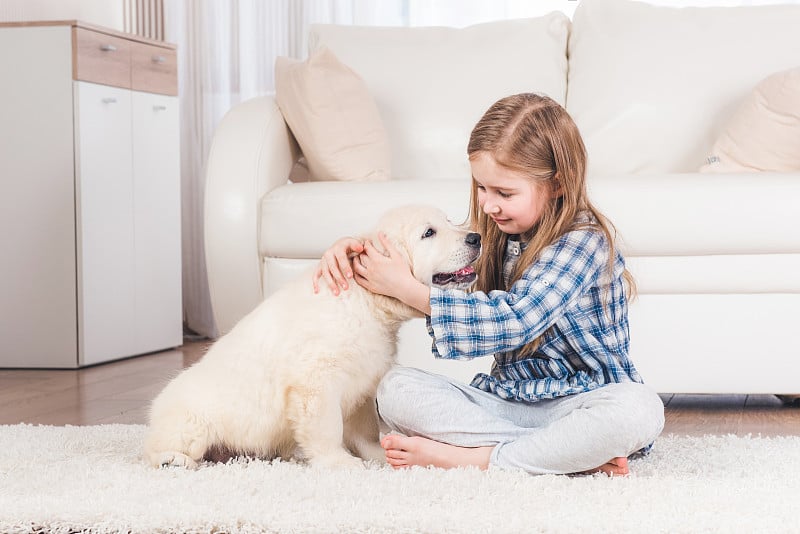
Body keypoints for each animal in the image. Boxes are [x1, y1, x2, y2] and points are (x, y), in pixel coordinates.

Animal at [144, 205, 478, 468]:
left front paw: (377, 456)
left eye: (450, 221)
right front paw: (340, 462)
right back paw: (172, 459)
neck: (365, 302)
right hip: (191, 423)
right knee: (156, 448)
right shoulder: (315, 380)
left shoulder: (363, 382)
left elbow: (365, 428)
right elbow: (326, 426)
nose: (475, 238)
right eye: (429, 233)